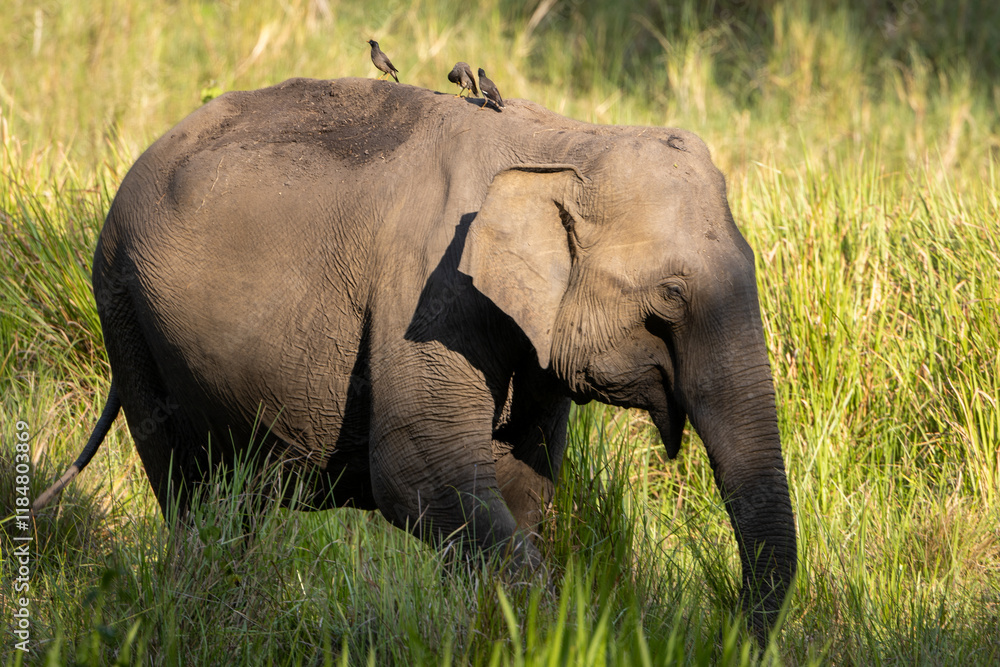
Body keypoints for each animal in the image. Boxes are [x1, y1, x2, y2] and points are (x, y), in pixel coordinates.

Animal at [37, 77, 796, 642]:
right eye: (670, 297)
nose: (729, 634)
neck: (566, 139)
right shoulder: (428, 292)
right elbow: (419, 471)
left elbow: (517, 480)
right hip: (126, 313)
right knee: (191, 492)